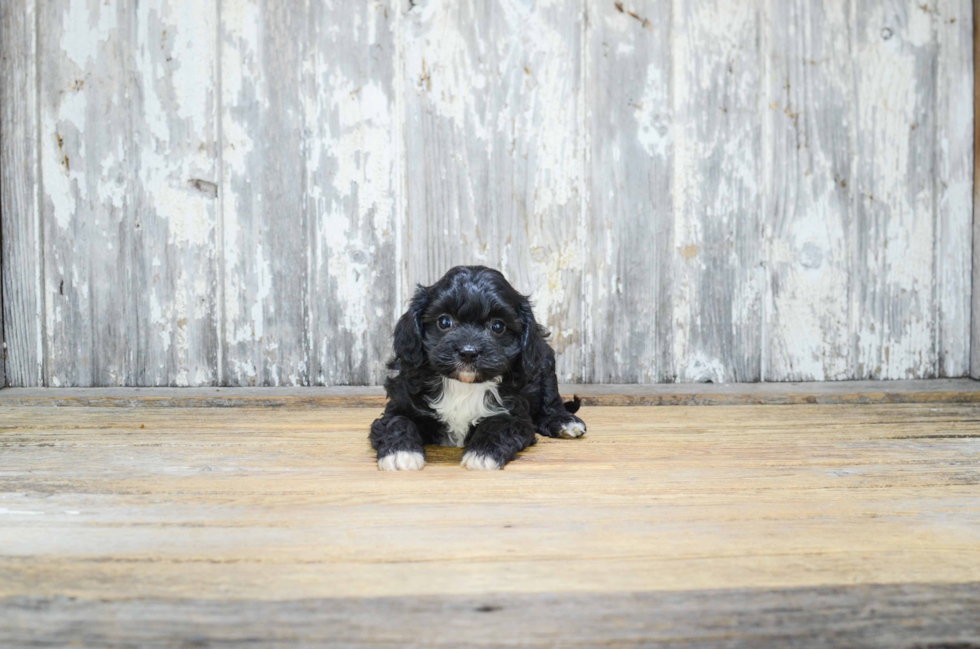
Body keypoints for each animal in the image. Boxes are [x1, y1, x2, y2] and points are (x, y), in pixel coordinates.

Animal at [370, 264, 584, 470]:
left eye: (497, 326)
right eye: (444, 321)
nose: (468, 352)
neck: (464, 385)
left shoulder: (515, 416)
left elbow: (496, 423)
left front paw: (482, 454)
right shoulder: (400, 402)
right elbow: (397, 421)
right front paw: (400, 453)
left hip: (544, 364)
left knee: (550, 398)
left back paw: (564, 421)